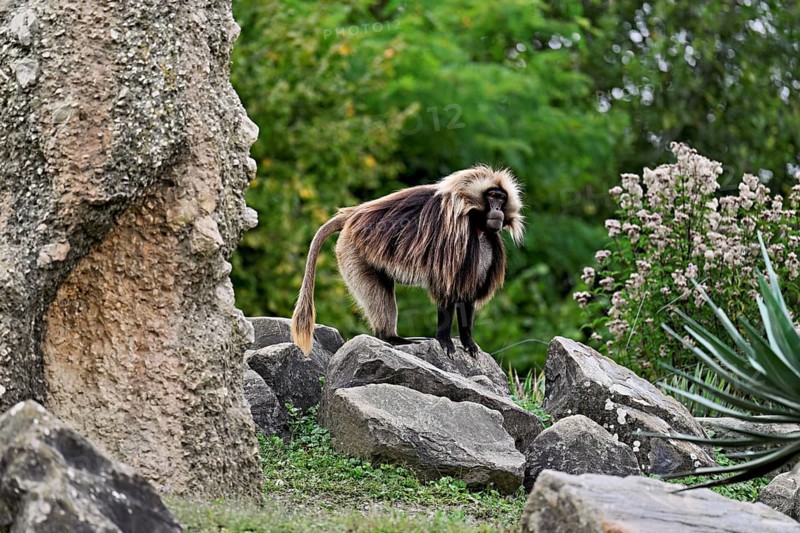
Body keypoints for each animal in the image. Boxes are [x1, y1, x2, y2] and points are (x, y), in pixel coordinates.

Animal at [291, 165, 524, 357]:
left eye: (501, 198)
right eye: (492, 196)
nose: (497, 210)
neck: (474, 220)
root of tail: (352, 214)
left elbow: (468, 292)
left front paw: (468, 342)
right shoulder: (453, 235)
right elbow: (447, 288)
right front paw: (445, 341)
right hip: (352, 250)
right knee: (378, 295)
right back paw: (391, 337)